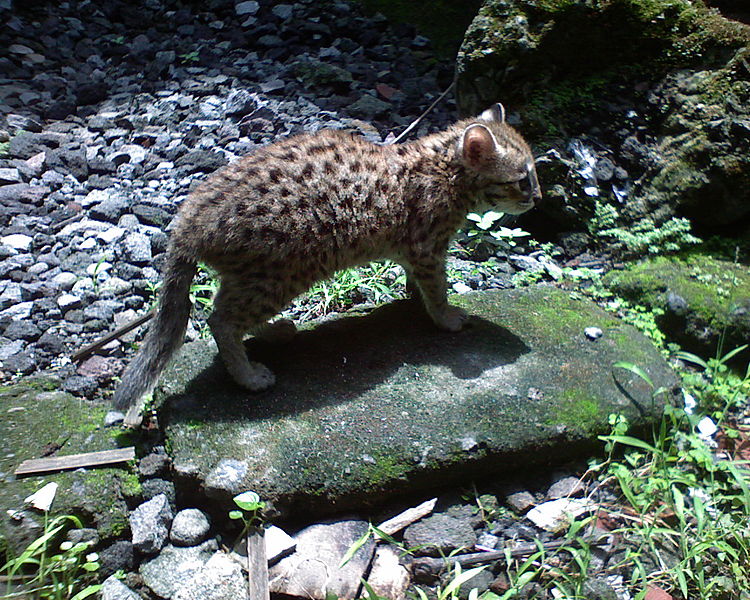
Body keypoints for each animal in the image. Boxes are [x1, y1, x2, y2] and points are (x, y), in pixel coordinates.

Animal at [113, 103, 540, 424]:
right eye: (523, 180)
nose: (538, 198)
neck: (440, 166)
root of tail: (190, 217)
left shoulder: (413, 252)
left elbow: (414, 282)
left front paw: (413, 302)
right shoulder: (427, 249)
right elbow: (436, 288)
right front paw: (445, 317)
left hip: (261, 276)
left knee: (228, 311)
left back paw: (273, 333)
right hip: (283, 272)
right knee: (220, 320)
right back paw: (248, 376)